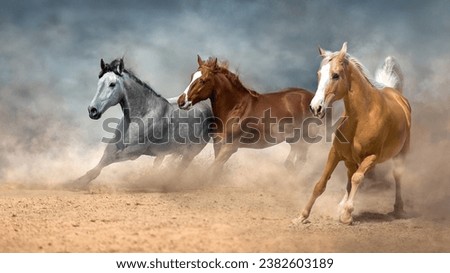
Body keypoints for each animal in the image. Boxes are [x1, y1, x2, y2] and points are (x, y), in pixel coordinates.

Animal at [74, 57, 213, 185]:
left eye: (112, 84)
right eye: (99, 83)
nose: (92, 110)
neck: (142, 114)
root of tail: (208, 110)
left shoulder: (134, 151)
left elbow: (110, 159)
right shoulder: (114, 145)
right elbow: (102, 162)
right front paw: (78, 181)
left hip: (191, 152)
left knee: (179, 168)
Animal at [176, 55, 312, 172]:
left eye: (203, 81)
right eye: (192, 77)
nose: (181, 102)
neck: (234, 109)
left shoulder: (229, 148)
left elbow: (210, 171)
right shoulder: (218, 145)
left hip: (304, 140)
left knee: (301, 161)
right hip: (294, 139)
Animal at [294, 43, 414, 223]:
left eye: (335, 75)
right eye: (319, 74)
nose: (316, 107)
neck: (363, 117)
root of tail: (395, 93)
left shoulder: (372, 157)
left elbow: (358, 178)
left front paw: (347, 214)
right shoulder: (336, 153)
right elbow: (321, 184)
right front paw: (302, 215)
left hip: (400, 154)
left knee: (396, 175)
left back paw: (398, 209)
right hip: (350, 160)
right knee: (350, 178)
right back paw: (340, 205)